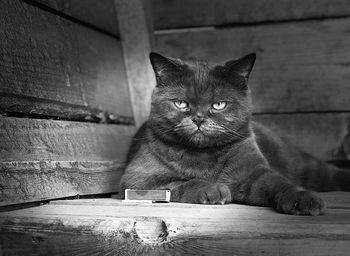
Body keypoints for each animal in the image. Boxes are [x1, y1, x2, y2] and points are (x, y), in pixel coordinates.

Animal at [120, 51, 350, 214]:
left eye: (219, 104)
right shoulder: (137, 179)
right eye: (181, 103)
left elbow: (279, 183)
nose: (199, 118)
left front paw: (303, 199)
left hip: (302, 165)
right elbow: (181, 182)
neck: (206, 157)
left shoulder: (253, 172)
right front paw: (213, 189)